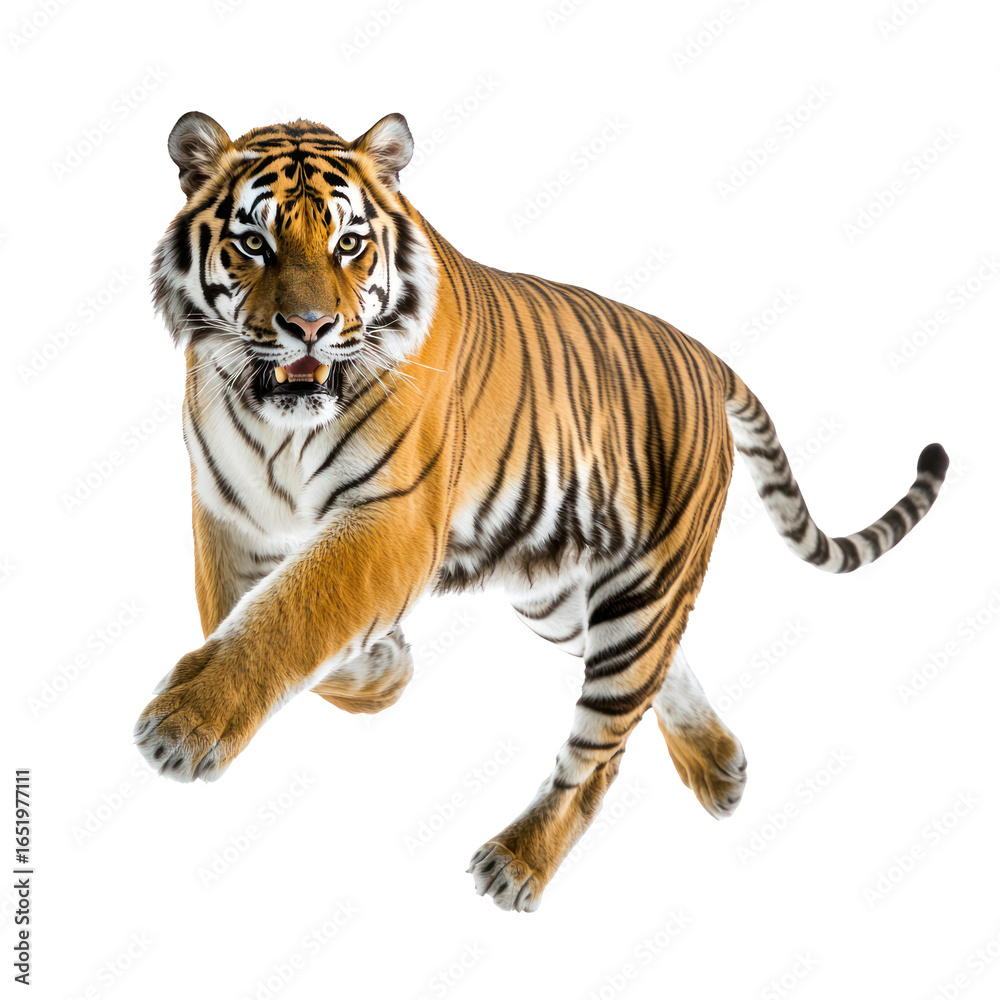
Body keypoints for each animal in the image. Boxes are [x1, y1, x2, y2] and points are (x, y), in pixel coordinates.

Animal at [134, 111, 949, 912]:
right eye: (254, 243)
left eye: (350, 245)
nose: (309, 327)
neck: (279, 426)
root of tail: (706, 357)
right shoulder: (231, 515)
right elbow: (234, 613)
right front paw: (378, 671)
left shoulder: (394, 519)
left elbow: (293, 614)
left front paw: (185, 725)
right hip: (557, 597)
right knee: (663, 668)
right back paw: (719, 767)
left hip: (644, 590)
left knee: (601, 746)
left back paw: (519, 862)